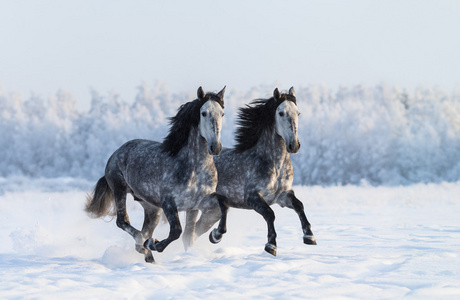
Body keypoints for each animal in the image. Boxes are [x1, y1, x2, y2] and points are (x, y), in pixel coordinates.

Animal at [85, 85, 229, 262]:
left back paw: (149, 256)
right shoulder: (168, 202)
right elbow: (176, 231)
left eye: (222, 113)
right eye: (203, 113)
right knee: (123, 222)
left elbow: (217, 210)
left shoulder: (196, 205)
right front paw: (153, 244)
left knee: (145, 230)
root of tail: (117, 152)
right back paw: (144, 243)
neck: (195, 169)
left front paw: (215, 236)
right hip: (119, 189)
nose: (216, 147)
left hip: (152, 208)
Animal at [183, 86, 316, 255]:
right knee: (189, 233)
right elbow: (270, 214)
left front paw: (309, 236)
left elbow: (299, 206)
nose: (294, 145)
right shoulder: (252, 197)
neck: (274, 166)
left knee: (196, 231)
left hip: (212, 211)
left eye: (298, 113)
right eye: (281, 113)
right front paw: (271, 245)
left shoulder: (283, 196)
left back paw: (213, 236)